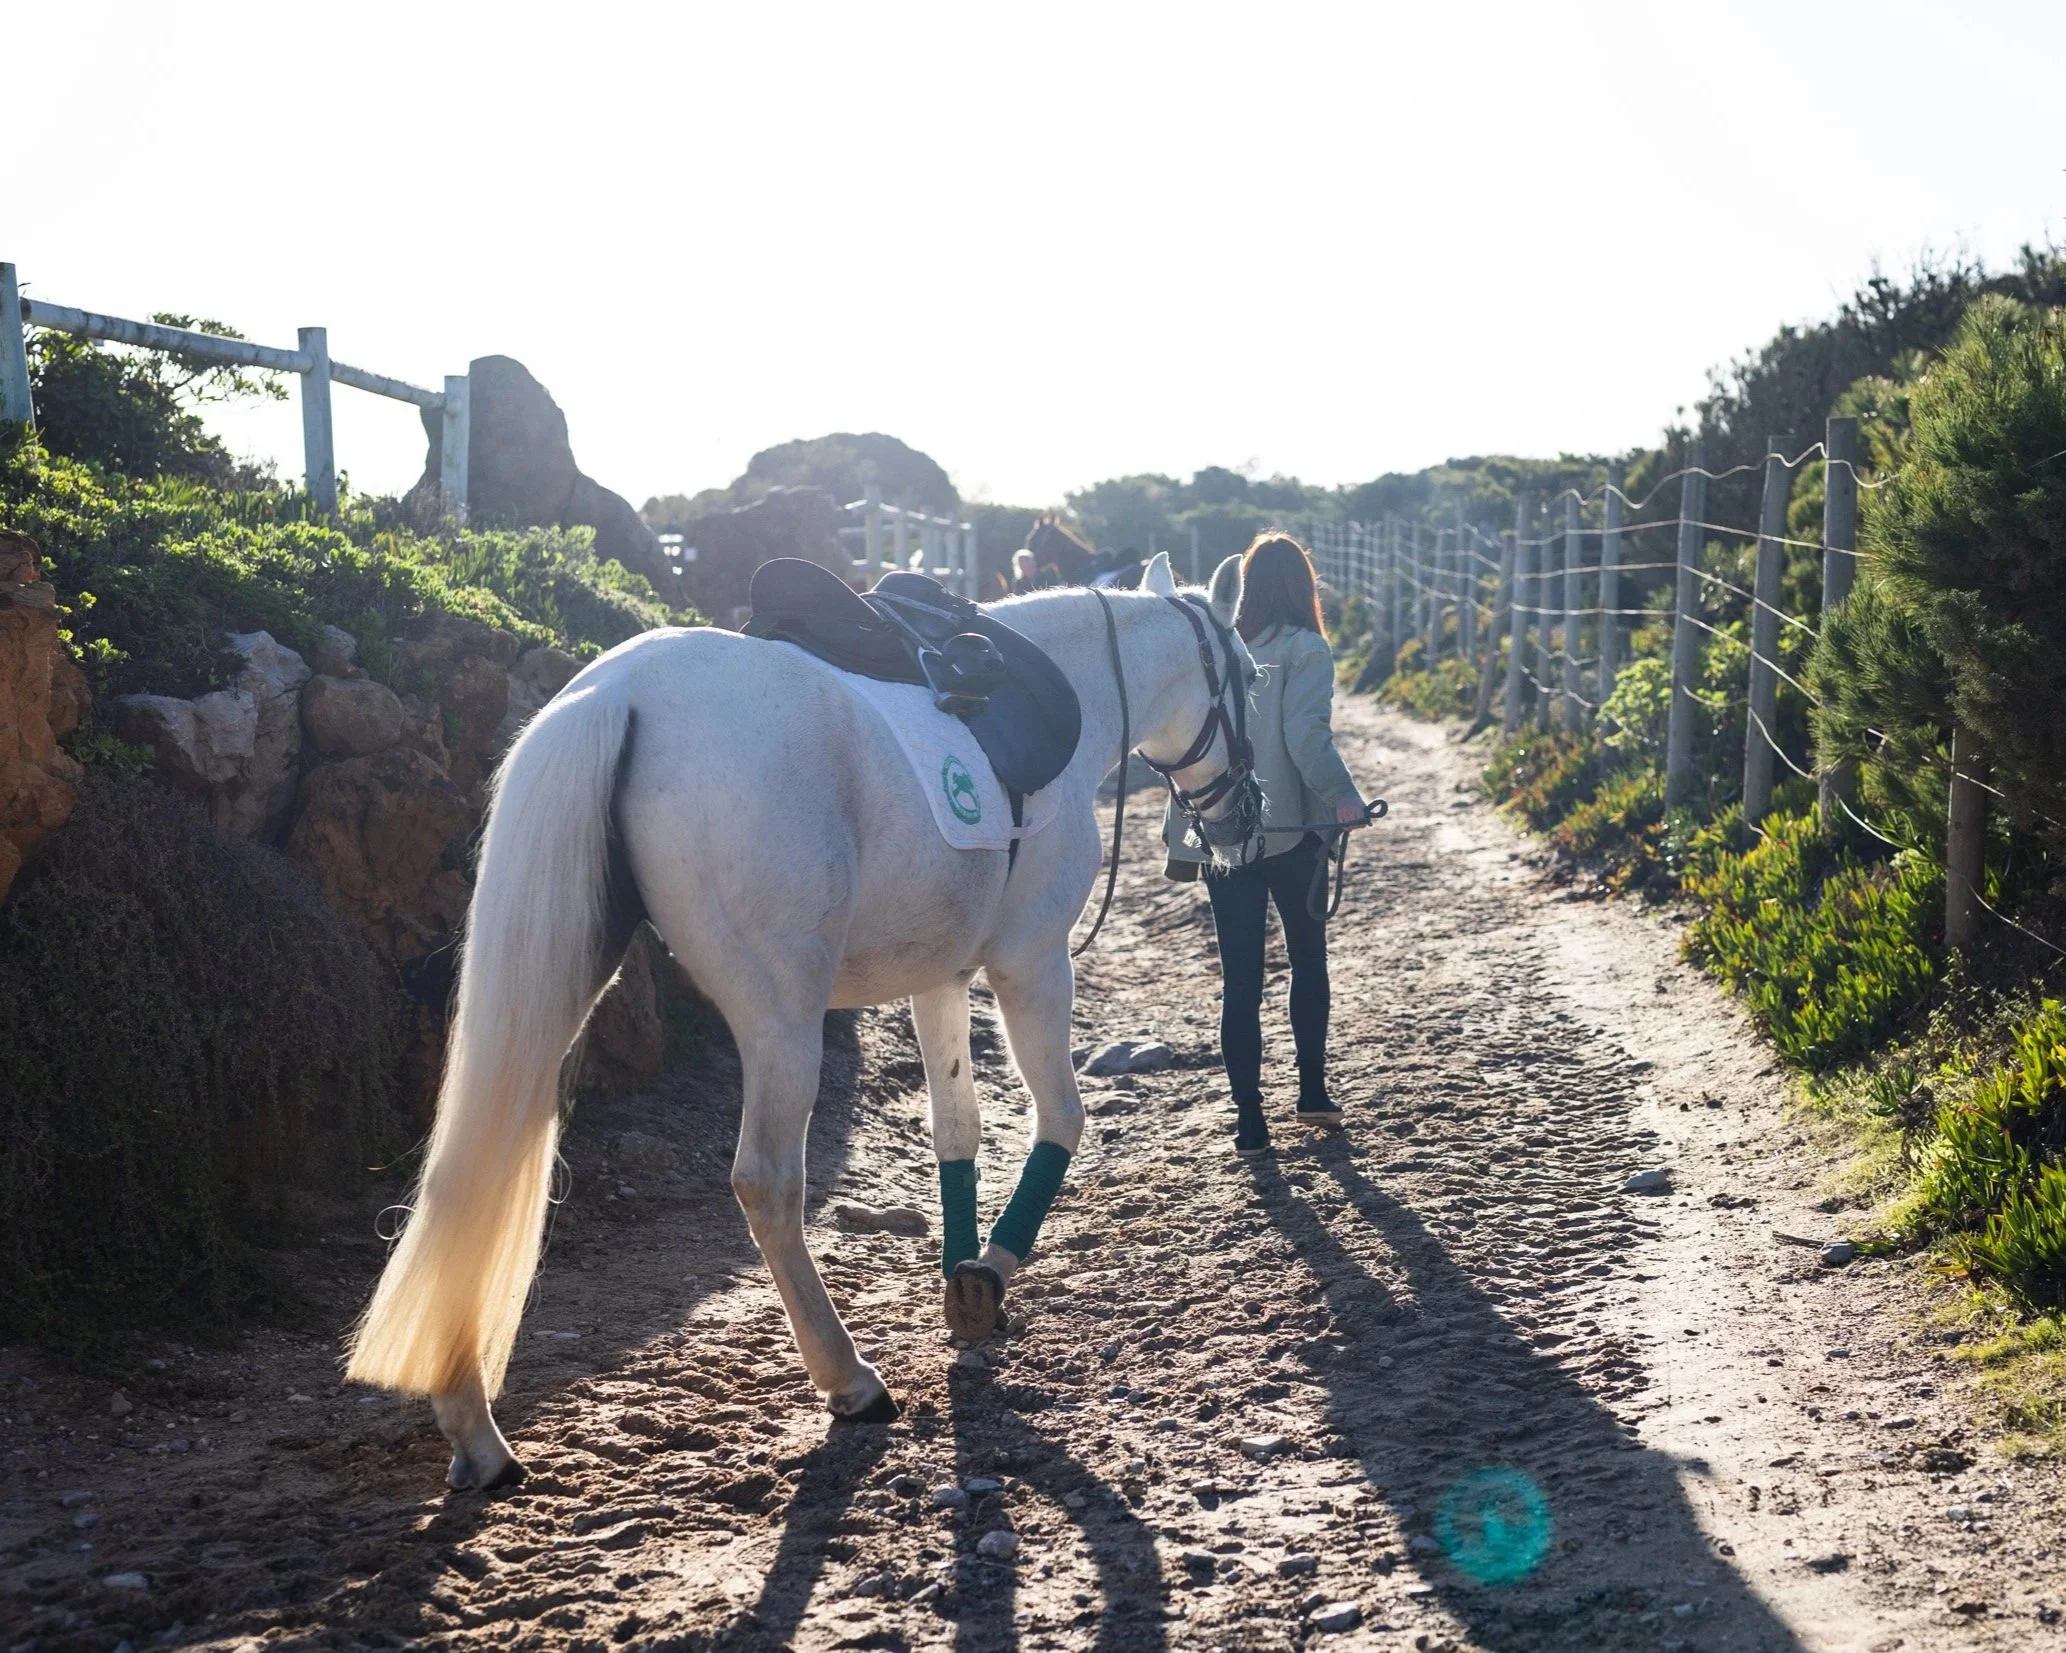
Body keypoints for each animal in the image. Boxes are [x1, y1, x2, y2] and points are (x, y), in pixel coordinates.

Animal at [345, 552, 1262, 1490]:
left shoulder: (940, 978)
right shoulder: (1033, 961)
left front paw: (962, 1280)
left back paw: (474, 1426)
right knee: (768, 1182)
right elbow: (1063, 1117)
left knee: (469, 1172)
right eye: (1253, 678)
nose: (1242, 815)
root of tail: (621, 691)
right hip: (782, 1016)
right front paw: (990, 1275)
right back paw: (847, 1376)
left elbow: (957, 1130)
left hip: (566, 972)